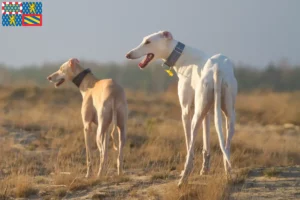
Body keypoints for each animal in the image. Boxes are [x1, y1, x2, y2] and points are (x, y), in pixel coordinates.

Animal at [125, 30, 238, 185]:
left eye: (148, 42)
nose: (128, 55)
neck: (183, 57)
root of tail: (217, 69)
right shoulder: (207, 111)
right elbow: (206, 142)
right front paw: (205, 169)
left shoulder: (186, 110)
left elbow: (189, 142)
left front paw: (192, 169)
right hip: (228, 114)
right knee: (226, 146)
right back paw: (229, 174)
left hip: (196, 116)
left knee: (191, 145)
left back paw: (184, 177)